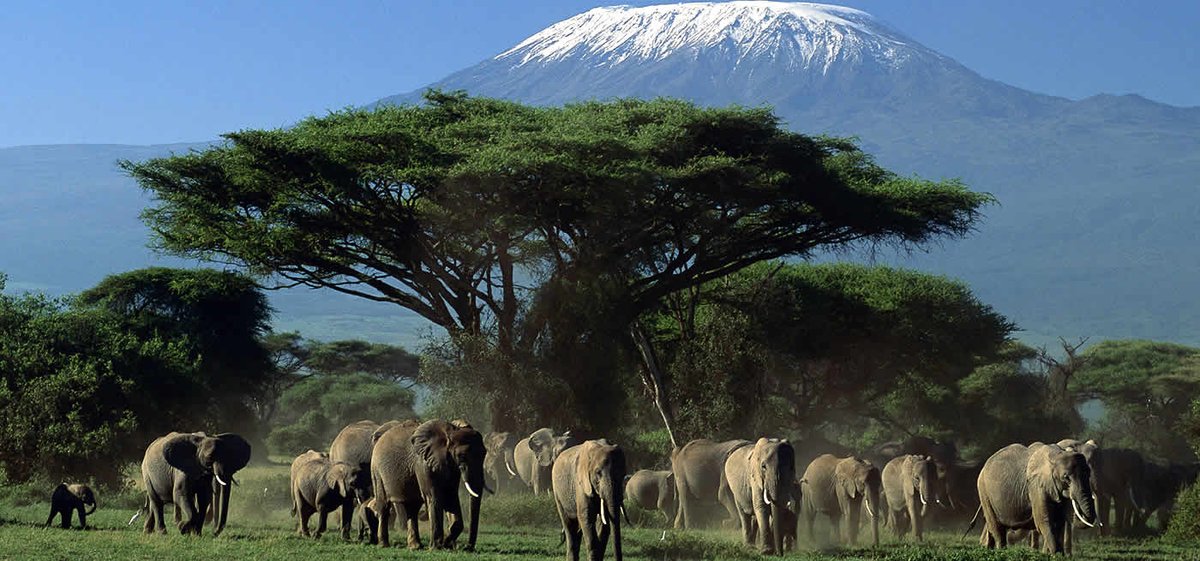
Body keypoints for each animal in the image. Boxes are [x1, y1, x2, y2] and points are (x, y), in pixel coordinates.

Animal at [371, 418, 488, 550]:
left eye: (485, 453)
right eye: (461, 456)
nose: (467, 547)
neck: (450, 432)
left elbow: (451, 496)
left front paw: (447, 544)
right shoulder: (423, 463)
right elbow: (434, 497)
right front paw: (437, 547)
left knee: (412, 508)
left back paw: (415, 547)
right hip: (377, 471)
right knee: (384, 505)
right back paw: (384, 545)